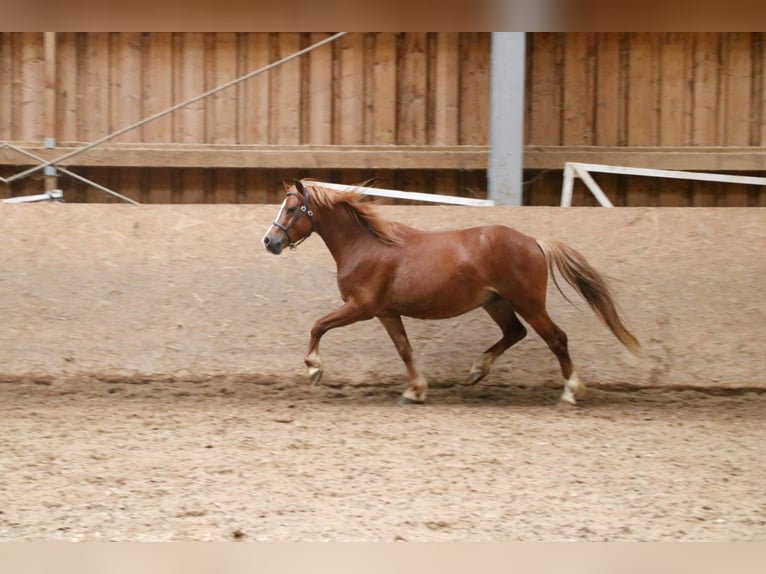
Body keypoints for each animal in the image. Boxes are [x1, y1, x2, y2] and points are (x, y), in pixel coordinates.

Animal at [264, 182, 640, 408]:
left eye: (292, 210)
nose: (270, 241)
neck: (367, 245)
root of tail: (534, 242)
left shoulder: (361, 307)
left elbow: (318, 326)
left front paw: (314, 369)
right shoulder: (387, 312)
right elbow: (404, 350)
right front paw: (415, 391)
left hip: (528, 302)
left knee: (556, 338)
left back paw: (571, 392)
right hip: (497, 303)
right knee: (514, 332)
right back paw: (477, 369)